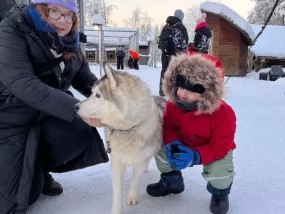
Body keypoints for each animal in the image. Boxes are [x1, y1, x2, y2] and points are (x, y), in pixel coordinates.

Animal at [75, 62, 164, 213]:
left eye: (98, 95)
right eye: (91, 93)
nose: (75, 107)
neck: (127, 129)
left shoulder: (139, 160)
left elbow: (135, 180)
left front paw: (132, 197)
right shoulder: (116, 163)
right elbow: (117, 191)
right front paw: (116, 210)